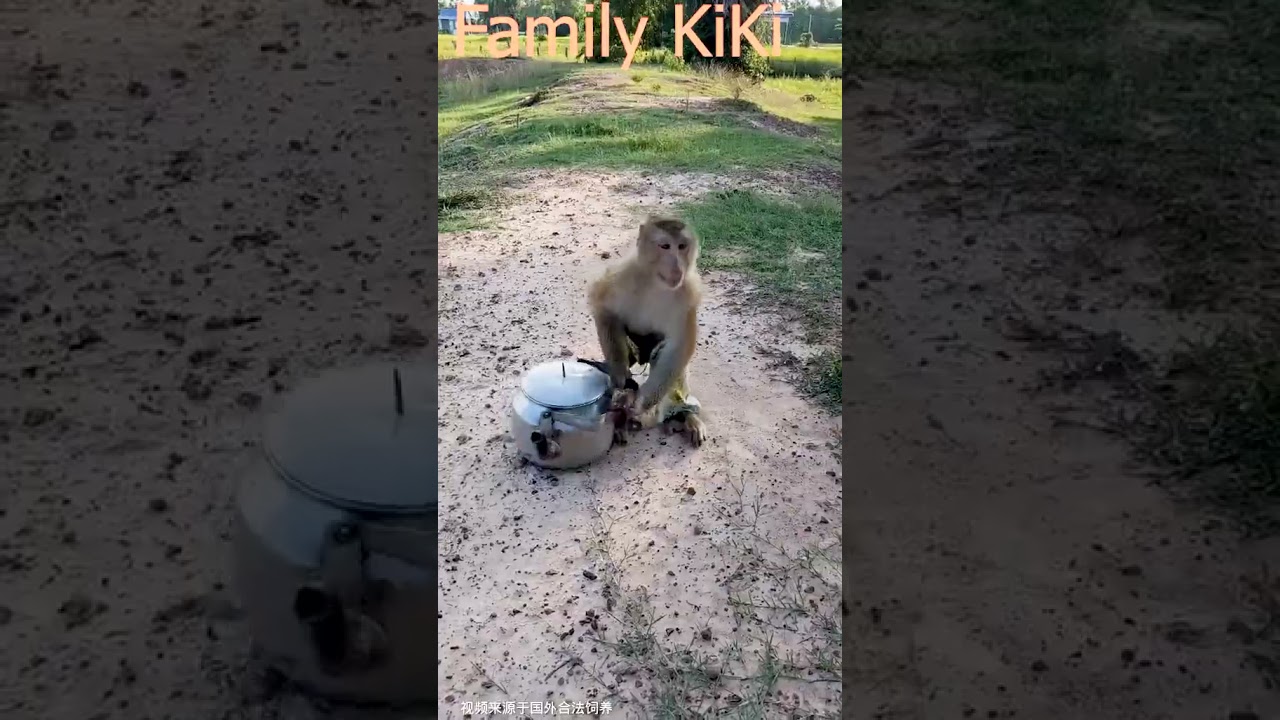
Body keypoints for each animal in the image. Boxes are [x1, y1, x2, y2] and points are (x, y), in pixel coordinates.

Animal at [588, 215, 708, 448]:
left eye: (682, 246)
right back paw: (620, 421)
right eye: (665, 246)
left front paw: (642, 402)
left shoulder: (689, 292)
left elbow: (679, 346)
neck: (656, 282)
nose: (676, 266)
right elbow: (603, 307)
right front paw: (619, 375)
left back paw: (684, 415)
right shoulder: (623, 276)